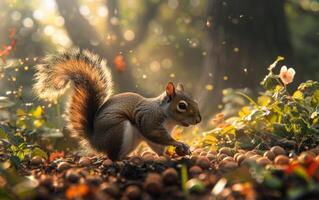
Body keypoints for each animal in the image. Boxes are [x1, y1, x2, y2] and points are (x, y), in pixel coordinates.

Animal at [33, 48, 202, 161]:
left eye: (195, 101)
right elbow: (154, 133)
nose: (199, 120)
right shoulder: (150, 119)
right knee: (112, 156)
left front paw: (172, 153)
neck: (167, 117)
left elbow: (159, 148)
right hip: (119, 130)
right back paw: (124, 160)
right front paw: (179, 143)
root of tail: (95, 140)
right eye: (182, 106)